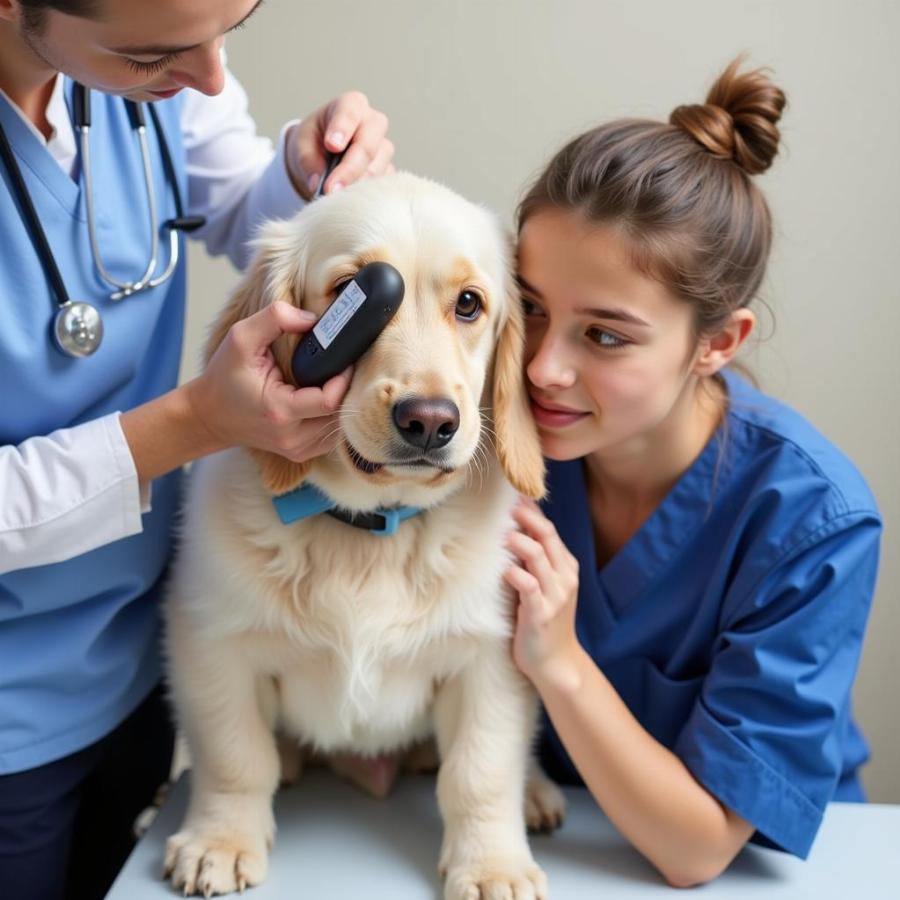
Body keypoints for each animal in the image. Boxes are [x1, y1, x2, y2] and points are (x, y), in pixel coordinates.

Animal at [163, 172, 568, 896]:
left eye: (469, 304)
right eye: (352, 290)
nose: (429, 421)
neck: (370, 533)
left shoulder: (491, 657)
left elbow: (481, 772)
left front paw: (492, 864)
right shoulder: (209, 642)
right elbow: (235, 755)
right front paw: (219, 840)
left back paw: (536, 792)